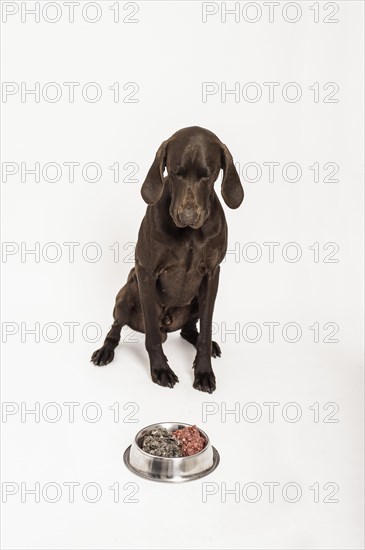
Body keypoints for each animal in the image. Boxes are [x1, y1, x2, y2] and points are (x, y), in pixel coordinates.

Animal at [91, 126, 243, 392]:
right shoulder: (146, 271)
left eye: (207, 175)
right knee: (116, 328)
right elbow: (151, 334)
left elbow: (206, 330)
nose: (187, 216)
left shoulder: (212, 274)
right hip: (126, 293)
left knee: (189, 331)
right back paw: (105, 351)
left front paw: (204, 371)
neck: (190, 234)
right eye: (174, 172)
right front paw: (160, 368)